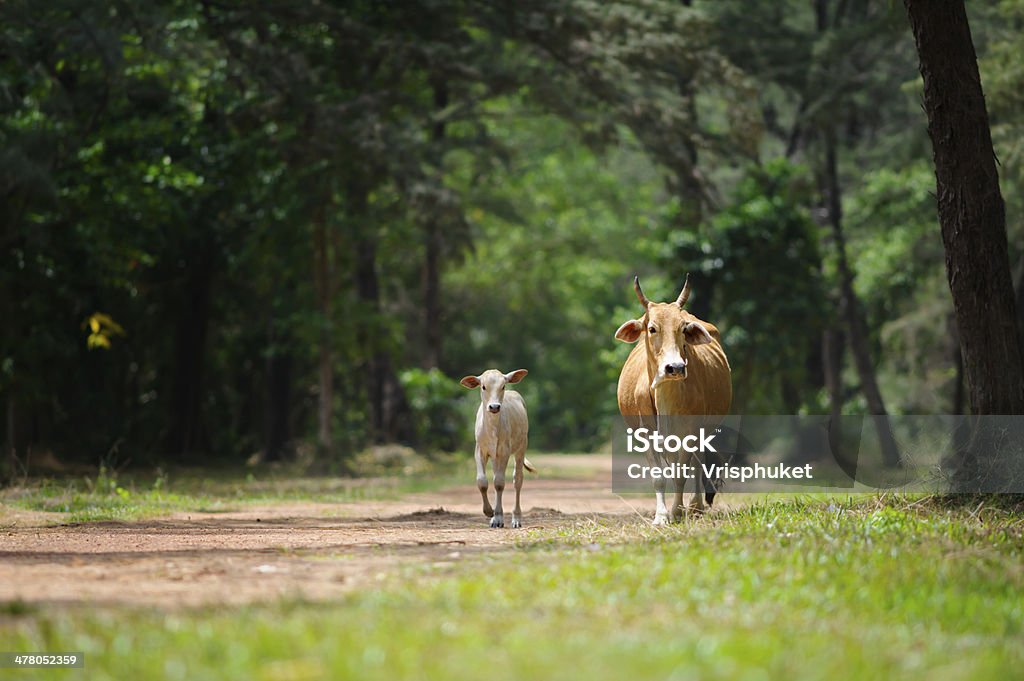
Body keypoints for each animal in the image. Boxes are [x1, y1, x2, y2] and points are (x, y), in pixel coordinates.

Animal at [458, 368, 532, 528]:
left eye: (503, 386)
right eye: (483, 386)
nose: (494, 407)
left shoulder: (504, 451)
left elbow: (499, 483)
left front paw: (497, 517)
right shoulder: (480, 449)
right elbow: (482, 482)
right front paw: (488, 512)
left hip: (521, 446)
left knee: (517, 480)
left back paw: (516, 518)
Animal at [614, 274, 729, 522]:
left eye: (683, 329)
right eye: (652, 328)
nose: (674, 367)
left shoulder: (691, 432)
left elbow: (681, 473)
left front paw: (677, 511)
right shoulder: (646, 434)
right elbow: (659, 476)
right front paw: (661, 515)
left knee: (697, 463)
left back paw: (695, 506)